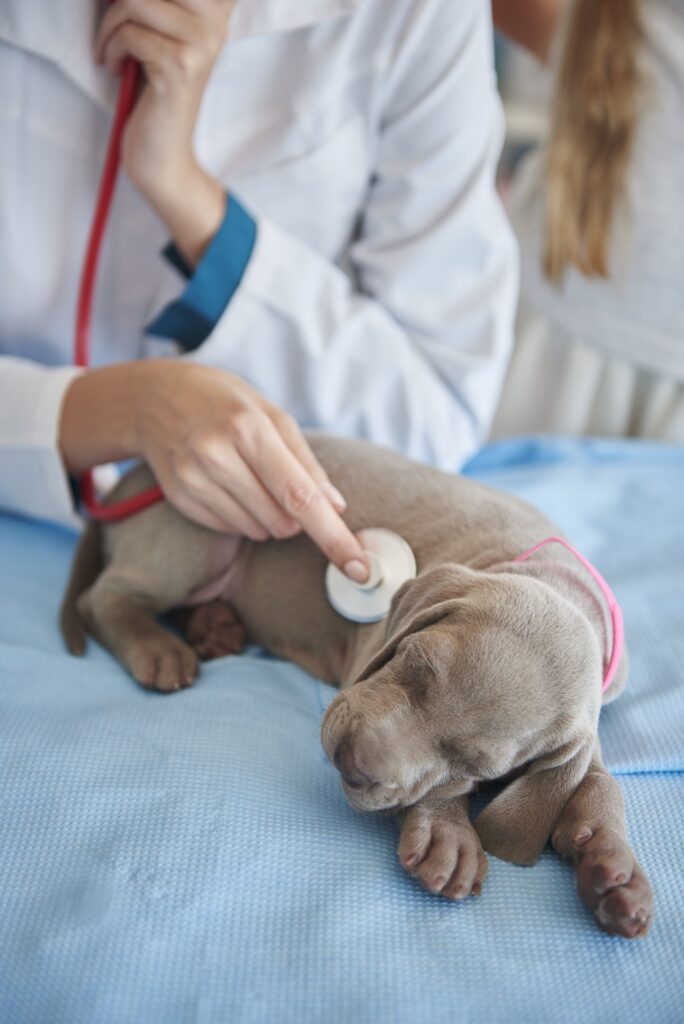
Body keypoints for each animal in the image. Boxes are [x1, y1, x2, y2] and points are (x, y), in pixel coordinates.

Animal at [58, 432, 651, 937]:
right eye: (413, 663)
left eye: (478, 767)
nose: (353, 761)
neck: (557, 579)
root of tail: (132, 478)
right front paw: (449, 836)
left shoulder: (585, 722)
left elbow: (598, 780)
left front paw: (613, 869)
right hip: (199, 531)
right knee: (105, 596)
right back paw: (158, 648)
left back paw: (214, 626)